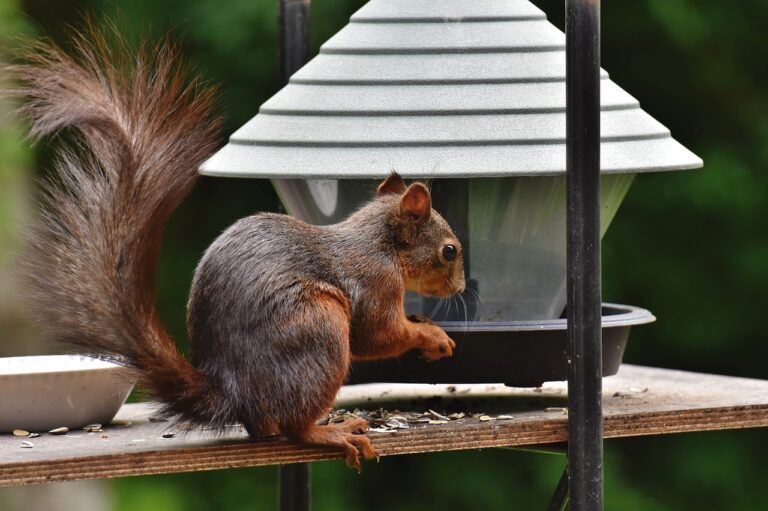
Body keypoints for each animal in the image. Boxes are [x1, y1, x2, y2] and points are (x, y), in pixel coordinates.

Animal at [13, 27, 462, 468]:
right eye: (449, 251)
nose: (459, 289)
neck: (382, 244)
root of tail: (236, 394)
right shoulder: (374, 282)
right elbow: (378, 335)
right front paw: (433, 336)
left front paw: (425, 322)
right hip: (319, 329)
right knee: (297, 426)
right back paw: (331, 431)